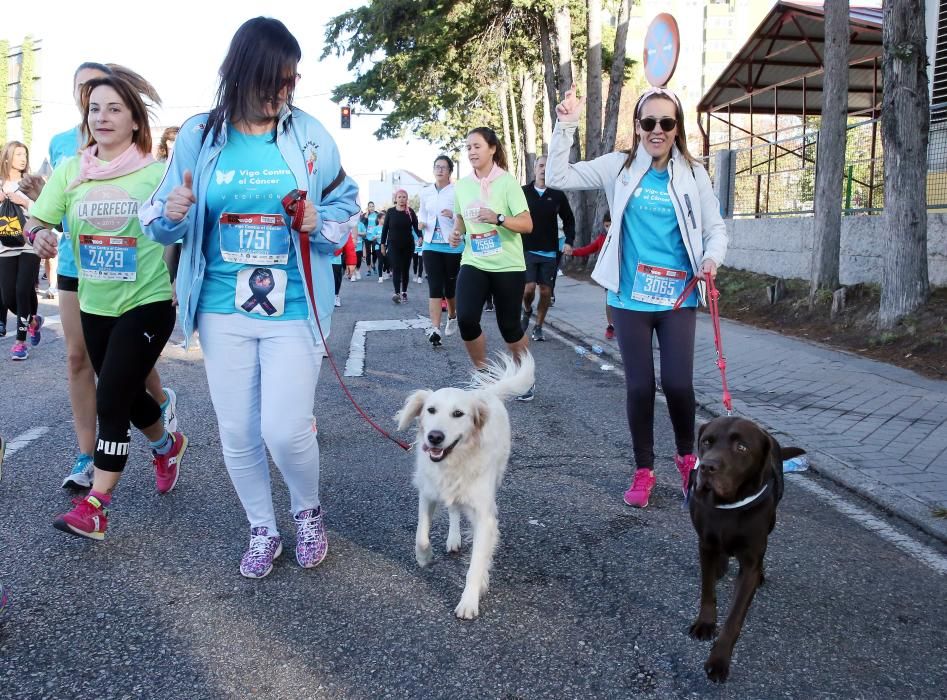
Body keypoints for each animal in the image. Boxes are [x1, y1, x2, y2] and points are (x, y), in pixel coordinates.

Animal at [396, 350, 536, 616]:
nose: (435, 437)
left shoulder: (484, 515)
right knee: (453, 511)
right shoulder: (427, 494)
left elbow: (477, 561)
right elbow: (421, 535)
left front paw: (470, 600)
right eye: (431, 410)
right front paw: (424, 557)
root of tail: (486, 392)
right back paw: (453, 539)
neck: (454, 461)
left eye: (458, 414)